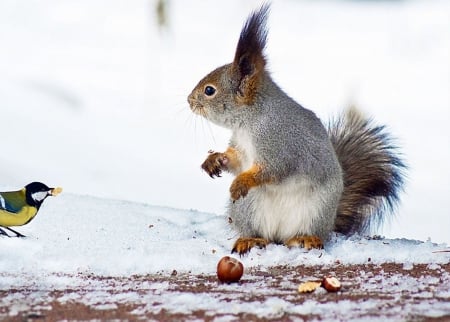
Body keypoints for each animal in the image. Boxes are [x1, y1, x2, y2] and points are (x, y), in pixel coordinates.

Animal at [188, 3, 406, 255]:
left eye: (209, 91)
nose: (189, 101)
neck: (249, 123)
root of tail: (279, 234)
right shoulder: (242, 147)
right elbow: (235, 160)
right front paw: (214, 160)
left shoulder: (281, 144)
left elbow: (273, 170)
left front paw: (242, 181)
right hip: (248, 208)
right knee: (259, 233)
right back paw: (250, 239)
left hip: (316, 210)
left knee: (303, 232)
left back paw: (305, 238)